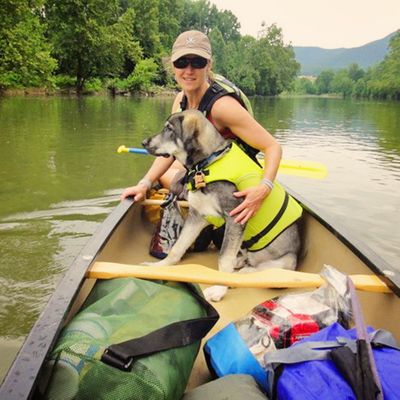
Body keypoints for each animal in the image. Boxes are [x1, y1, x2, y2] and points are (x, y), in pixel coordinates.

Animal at [142, 109, 302, 300]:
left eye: (169, 129)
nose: (144, 142)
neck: (205, 165)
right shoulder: (198, 216)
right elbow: (178, 247)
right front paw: (159, 267)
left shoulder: (234, 219)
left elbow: (224, 258)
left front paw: (219, 289)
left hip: (285, 262)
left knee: (260, 272)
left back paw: (240, 275)